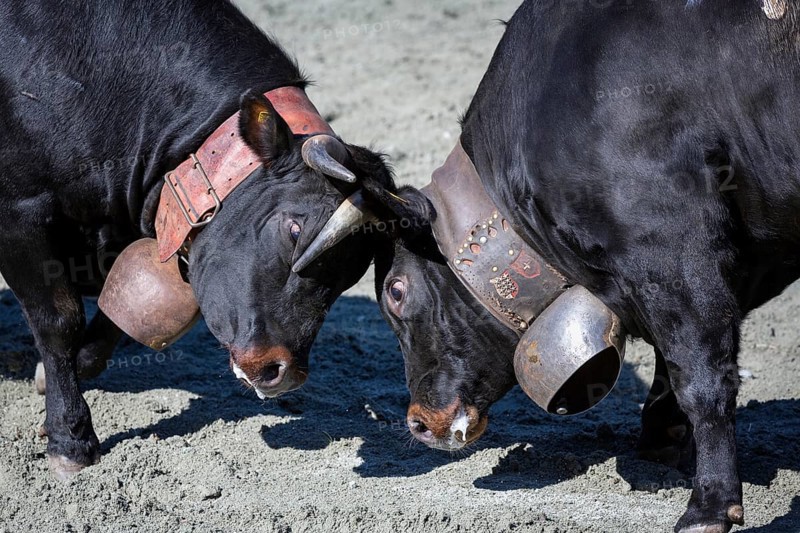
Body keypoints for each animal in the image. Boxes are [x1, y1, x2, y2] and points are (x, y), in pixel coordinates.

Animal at [0, 0, 401, 480]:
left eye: (351, 275)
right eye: (294, 229)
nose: (282, 371)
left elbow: (118, 317)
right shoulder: (19, 212)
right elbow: (59, 321)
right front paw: (71, 439)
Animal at [368, 1, 800, 531]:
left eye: (396, 291)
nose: (418, 421)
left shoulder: (675, 247)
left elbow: (702, 377)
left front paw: (710, 504)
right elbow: (669, 363)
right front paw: (662, 438)